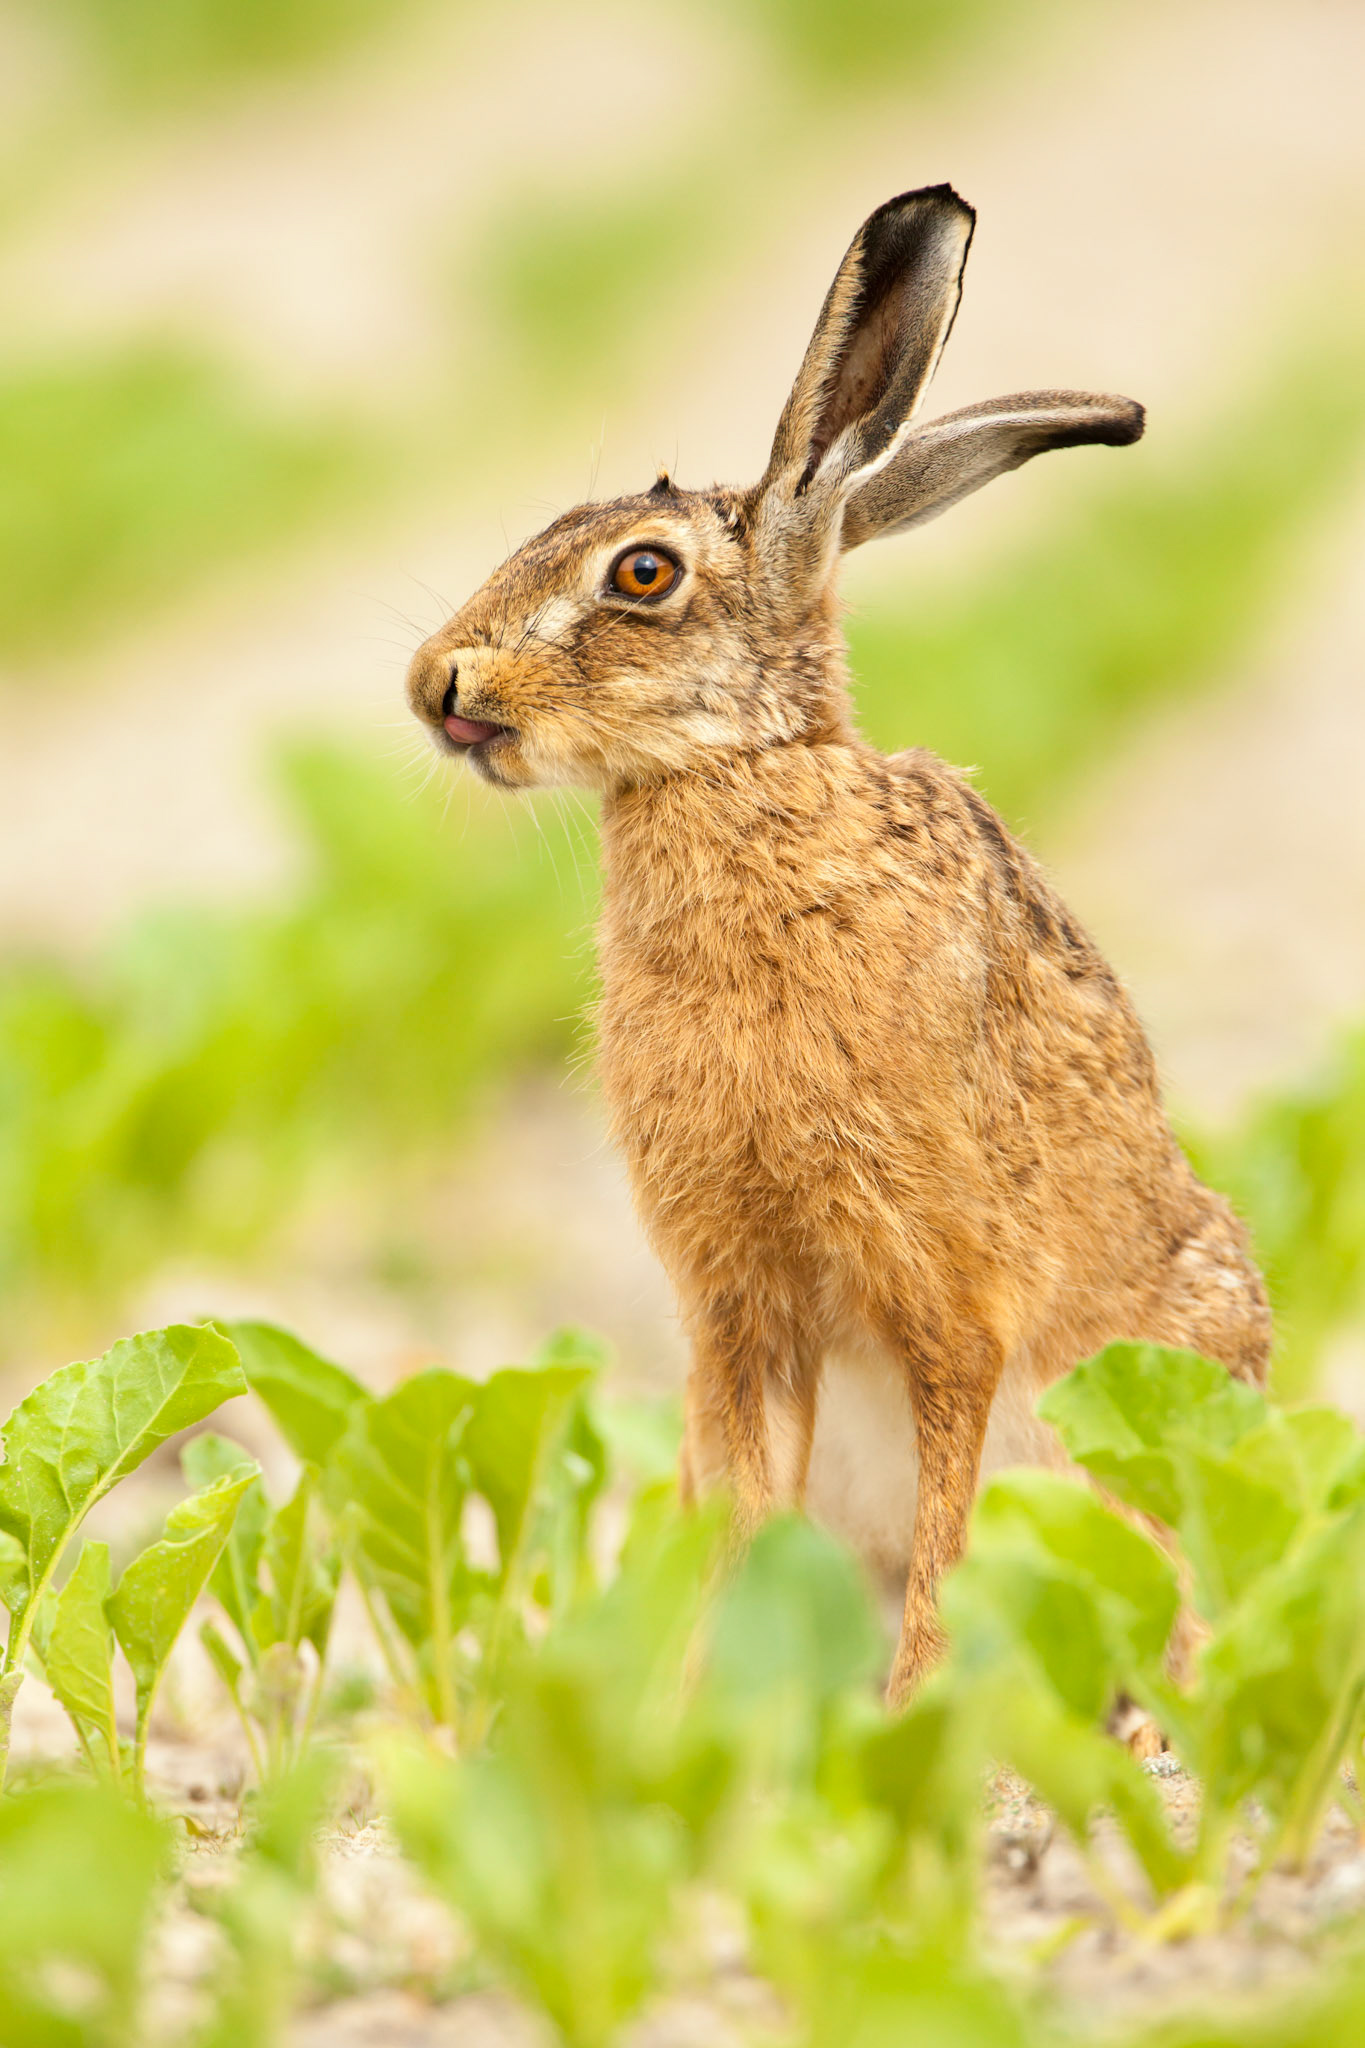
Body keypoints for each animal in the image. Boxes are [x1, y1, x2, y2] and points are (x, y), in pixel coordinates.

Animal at [406, 185, 1271, 1701]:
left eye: (643, 573)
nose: (435, 684)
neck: (743, 778)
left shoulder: (948, 1294)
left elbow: (950, 1515)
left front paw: (914, 1703)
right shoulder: (737, 1310)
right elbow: (748, 1515)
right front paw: (714, 1705)